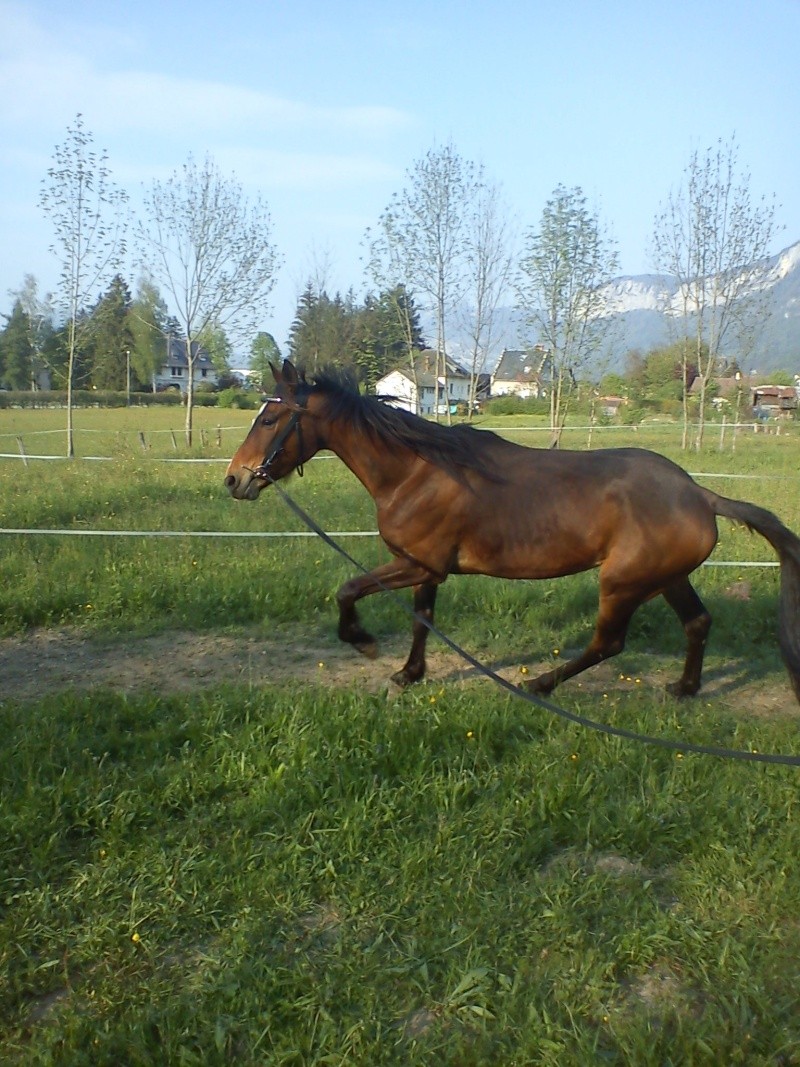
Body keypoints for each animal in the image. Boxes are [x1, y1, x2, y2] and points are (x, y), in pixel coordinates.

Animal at [224, 362, 800, 704]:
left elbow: (348, 590)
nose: (235, 479)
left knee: (608, 643)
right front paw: (409, 674)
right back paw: (683, 688)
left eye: (271, 420)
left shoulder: (416, 564)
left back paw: (540, 684)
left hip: (622, 583)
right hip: (665, 578)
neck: (416, 472)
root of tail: (699, 494)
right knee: (697, 623)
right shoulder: (427, 568)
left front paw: (363, 643)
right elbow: (422, 621)